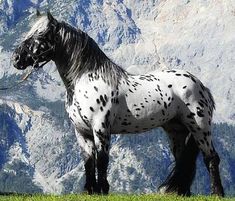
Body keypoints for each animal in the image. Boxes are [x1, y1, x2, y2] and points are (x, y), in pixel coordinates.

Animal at [12, 11, 224, 196]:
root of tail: (201, 85)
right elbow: (88, 162)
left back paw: (217, 193)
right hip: (176, 130)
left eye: (41, 34)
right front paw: (89, 191)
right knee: (182, 162)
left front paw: (103, 190)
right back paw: (181, 192)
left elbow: (102, 161)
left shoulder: (100, 128)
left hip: (200, 126)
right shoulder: (81, 131)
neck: (86, 80)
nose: (16, 58)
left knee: (211, 158)